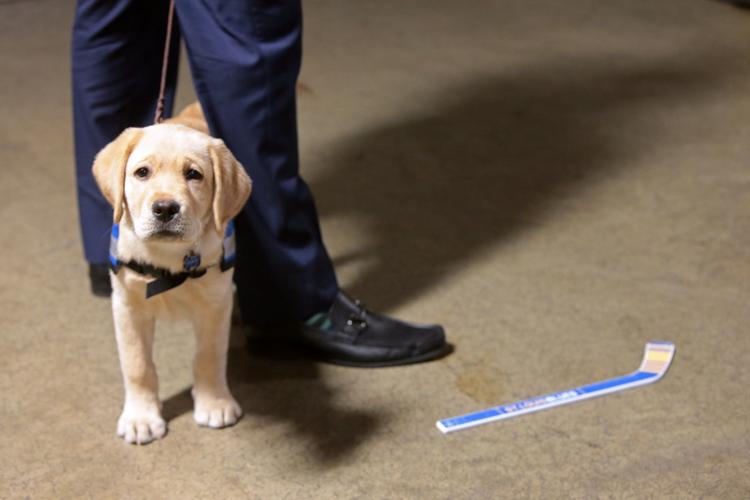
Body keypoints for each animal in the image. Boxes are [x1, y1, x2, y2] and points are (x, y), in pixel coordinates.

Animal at [93, 106, 253, 446]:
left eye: (194, 175)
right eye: (142, 172)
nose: (165, 208)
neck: (167, 260)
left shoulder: (215, 304)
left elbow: (209, 355)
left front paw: (214, 404)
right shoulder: (127, 306)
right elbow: (137, 365)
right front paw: (141, 418)